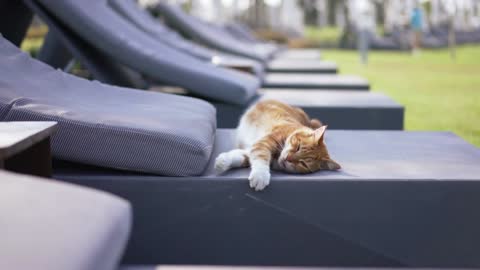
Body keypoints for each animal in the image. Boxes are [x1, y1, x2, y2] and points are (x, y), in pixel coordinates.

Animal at [214, 100, 342, 191]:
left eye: (303, 164)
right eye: (298, 147)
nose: (288, 158)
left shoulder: (253, 148)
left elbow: (242, 157)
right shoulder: (263, 142)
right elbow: (259, 157)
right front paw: (260, 175)